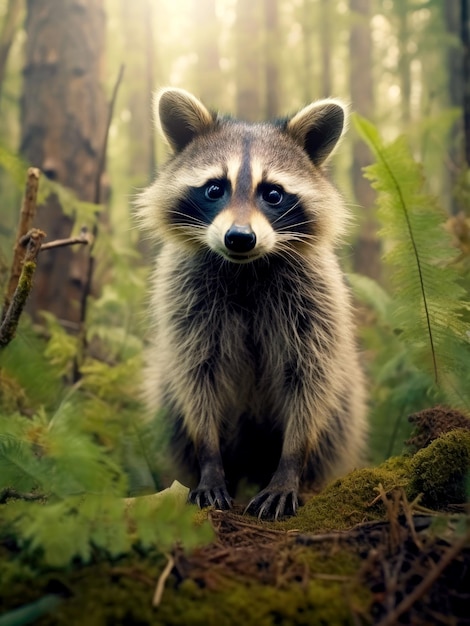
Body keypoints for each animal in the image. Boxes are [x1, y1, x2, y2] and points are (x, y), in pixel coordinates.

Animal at [136, 86, 368, 516]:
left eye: (273, 194)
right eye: (215, 189)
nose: (239, 238)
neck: (245, 268)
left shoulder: (315, 300)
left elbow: (310, 381)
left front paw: (290, 466)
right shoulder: (185, 299)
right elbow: (196, 378)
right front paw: (209, 462)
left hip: (346, 399)